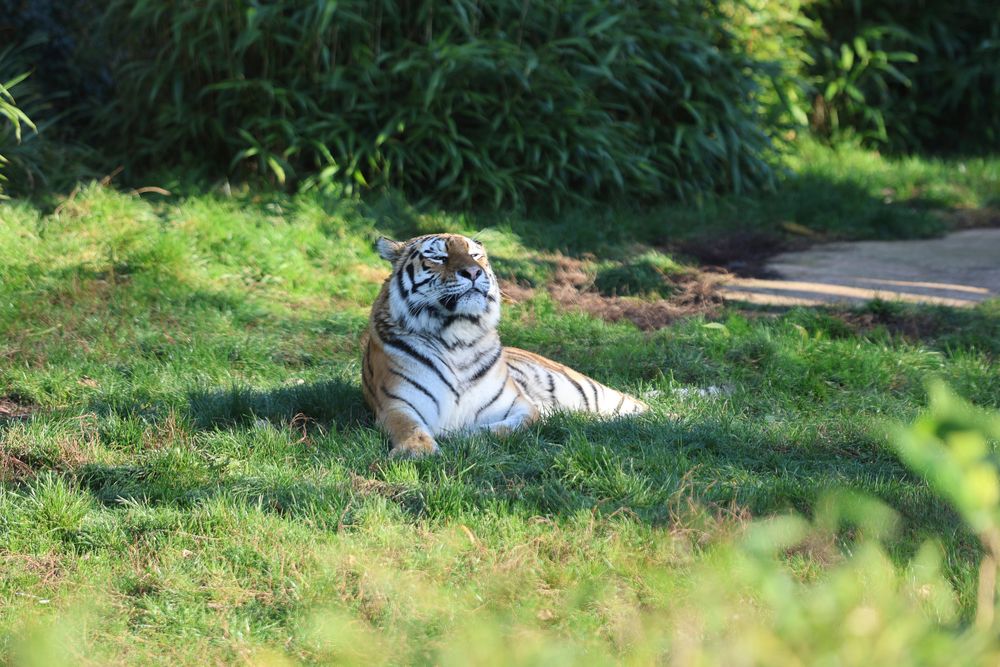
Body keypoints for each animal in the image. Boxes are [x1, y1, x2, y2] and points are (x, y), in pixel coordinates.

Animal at [361, 233, 648, 457]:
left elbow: (504, 429)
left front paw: (460, 435)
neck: (457, 336)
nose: (473, 272)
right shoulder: (396, 404)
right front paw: (416, 450)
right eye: (440, 257)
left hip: (593, 391)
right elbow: (409, 427)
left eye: (475, 255)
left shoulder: (520, 406)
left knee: (640, 405)